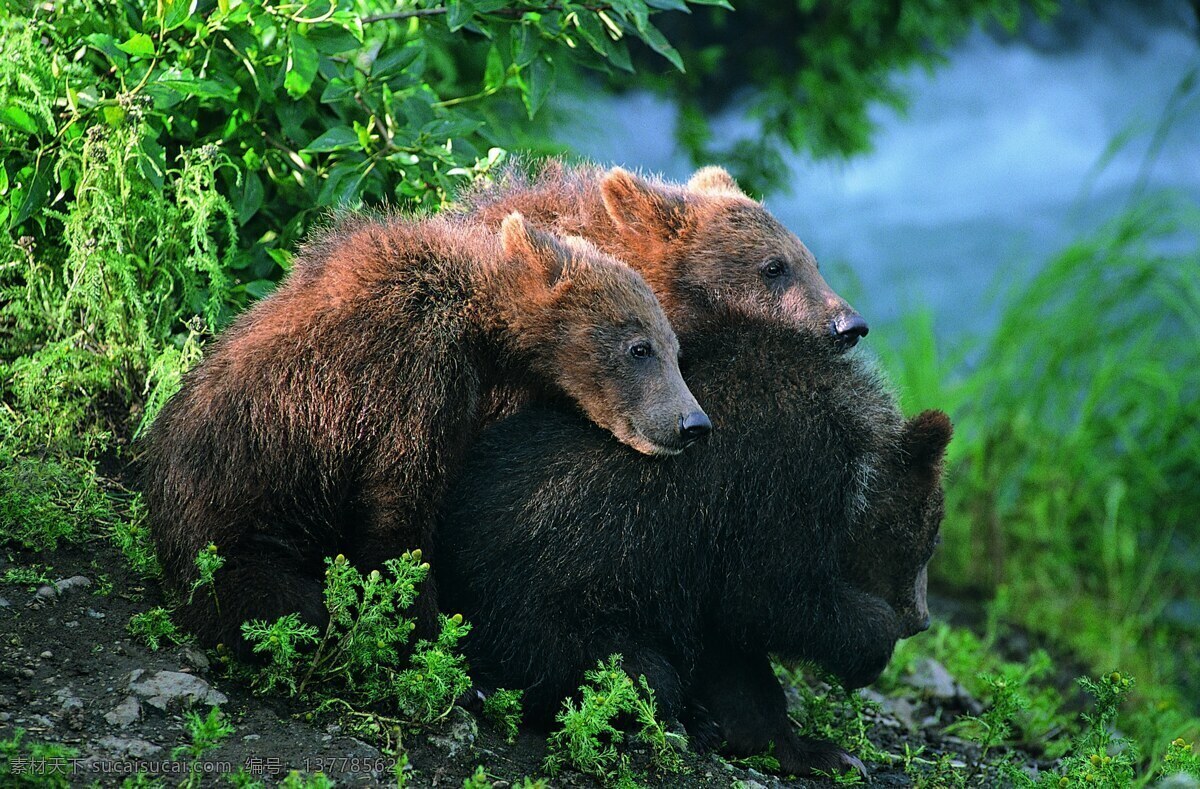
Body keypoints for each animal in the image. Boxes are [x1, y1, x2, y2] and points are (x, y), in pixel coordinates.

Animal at [137, 212, 708, 657]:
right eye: (640, 348)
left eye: (675, 349)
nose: (693, 424)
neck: (484, 332)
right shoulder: (413, 374)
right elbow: (400, 508)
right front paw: (430, 635)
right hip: (238, 527)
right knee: (277, 603)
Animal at [435, 314, 951, 777]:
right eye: (930, 539)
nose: (921, 619)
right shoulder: (780, 484)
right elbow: (770, 598)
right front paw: (871, 648)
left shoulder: (701, 567)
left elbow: (734, 653)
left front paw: (805, 749)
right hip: (538, 613)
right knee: (635, 672)